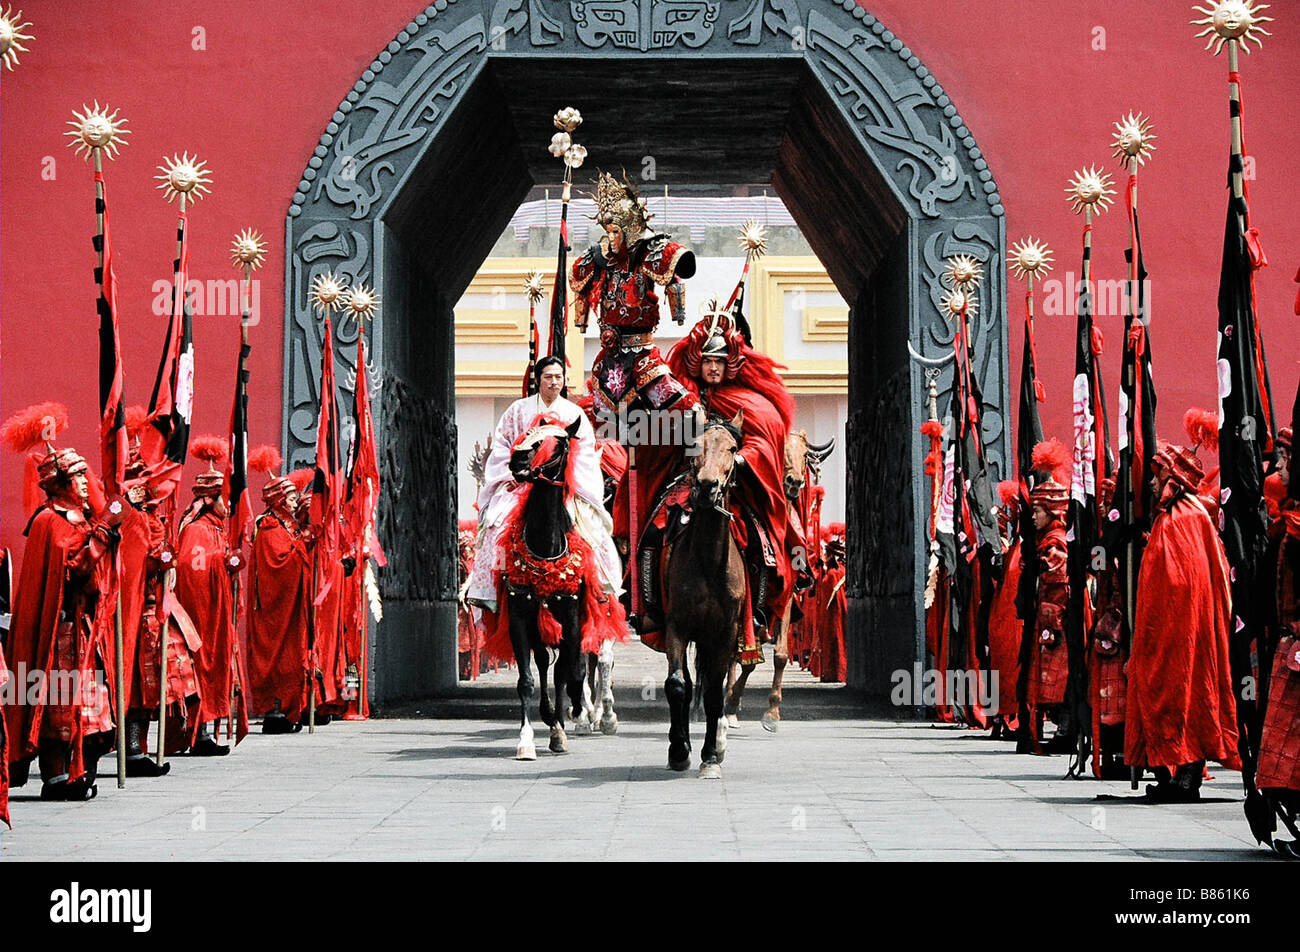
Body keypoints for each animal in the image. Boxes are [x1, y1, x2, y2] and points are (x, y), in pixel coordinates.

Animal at [722, 426, 832, 733]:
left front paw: (772, 712)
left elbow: (780, 654)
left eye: (804, 454)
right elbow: (743, 657)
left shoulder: (785, 599)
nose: (794, 482)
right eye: (779, 449)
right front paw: (730, 704)